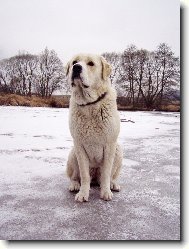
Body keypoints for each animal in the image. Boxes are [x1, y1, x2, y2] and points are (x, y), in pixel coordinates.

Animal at [65, 53, 123, 201]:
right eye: (74, 62)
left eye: (91, 63)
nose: (76, 67)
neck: (90, 104)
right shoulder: (79, 145)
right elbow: (84, 175)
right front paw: (83, 194)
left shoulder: (110, 145)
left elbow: (107, 173)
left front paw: (106, 192)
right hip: (73, 153)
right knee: (75, 176)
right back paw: (74, 185)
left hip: (118, 151)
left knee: (108, 176)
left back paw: (112, 184)